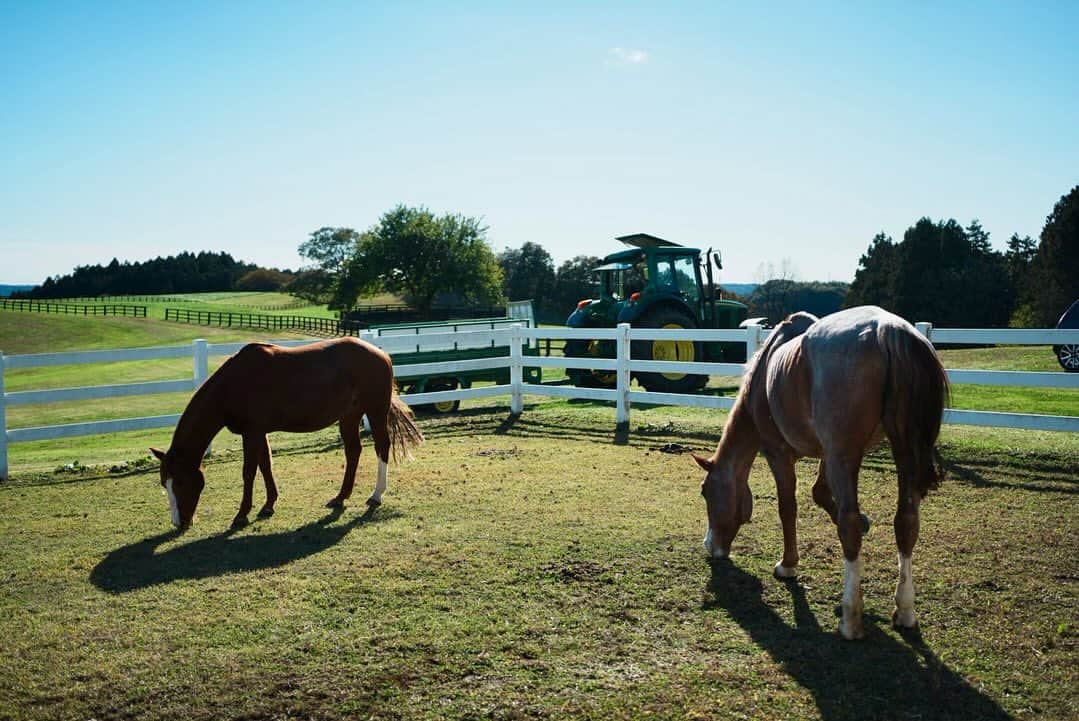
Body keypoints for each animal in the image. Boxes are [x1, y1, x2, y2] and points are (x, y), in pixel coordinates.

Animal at [150, 337, 424, 530]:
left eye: (181, 482)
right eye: (165, 483)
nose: (179, 523)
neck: (233, 385)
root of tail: (381, 353)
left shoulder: (252, 433)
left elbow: (249, 471)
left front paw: (242, 514)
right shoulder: (258, 433)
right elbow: (265, 466)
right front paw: (268, 505)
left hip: (375, 411)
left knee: (381, 447)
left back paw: (376, 495)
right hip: (349, 417)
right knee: (353, 451)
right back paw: (340, 497)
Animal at [694, 305, 948, 640]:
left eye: (706, 492)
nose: (710, 546)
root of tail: (887, 329)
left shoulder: (779, 453)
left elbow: (788, 508)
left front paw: (788, 565)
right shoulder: (829, 454)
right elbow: (819, 493)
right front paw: (865, 522)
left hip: (846, 455)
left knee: (849, 525)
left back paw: (850, 618)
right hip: (902, 454)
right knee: (906, 522)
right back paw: (904, 610)